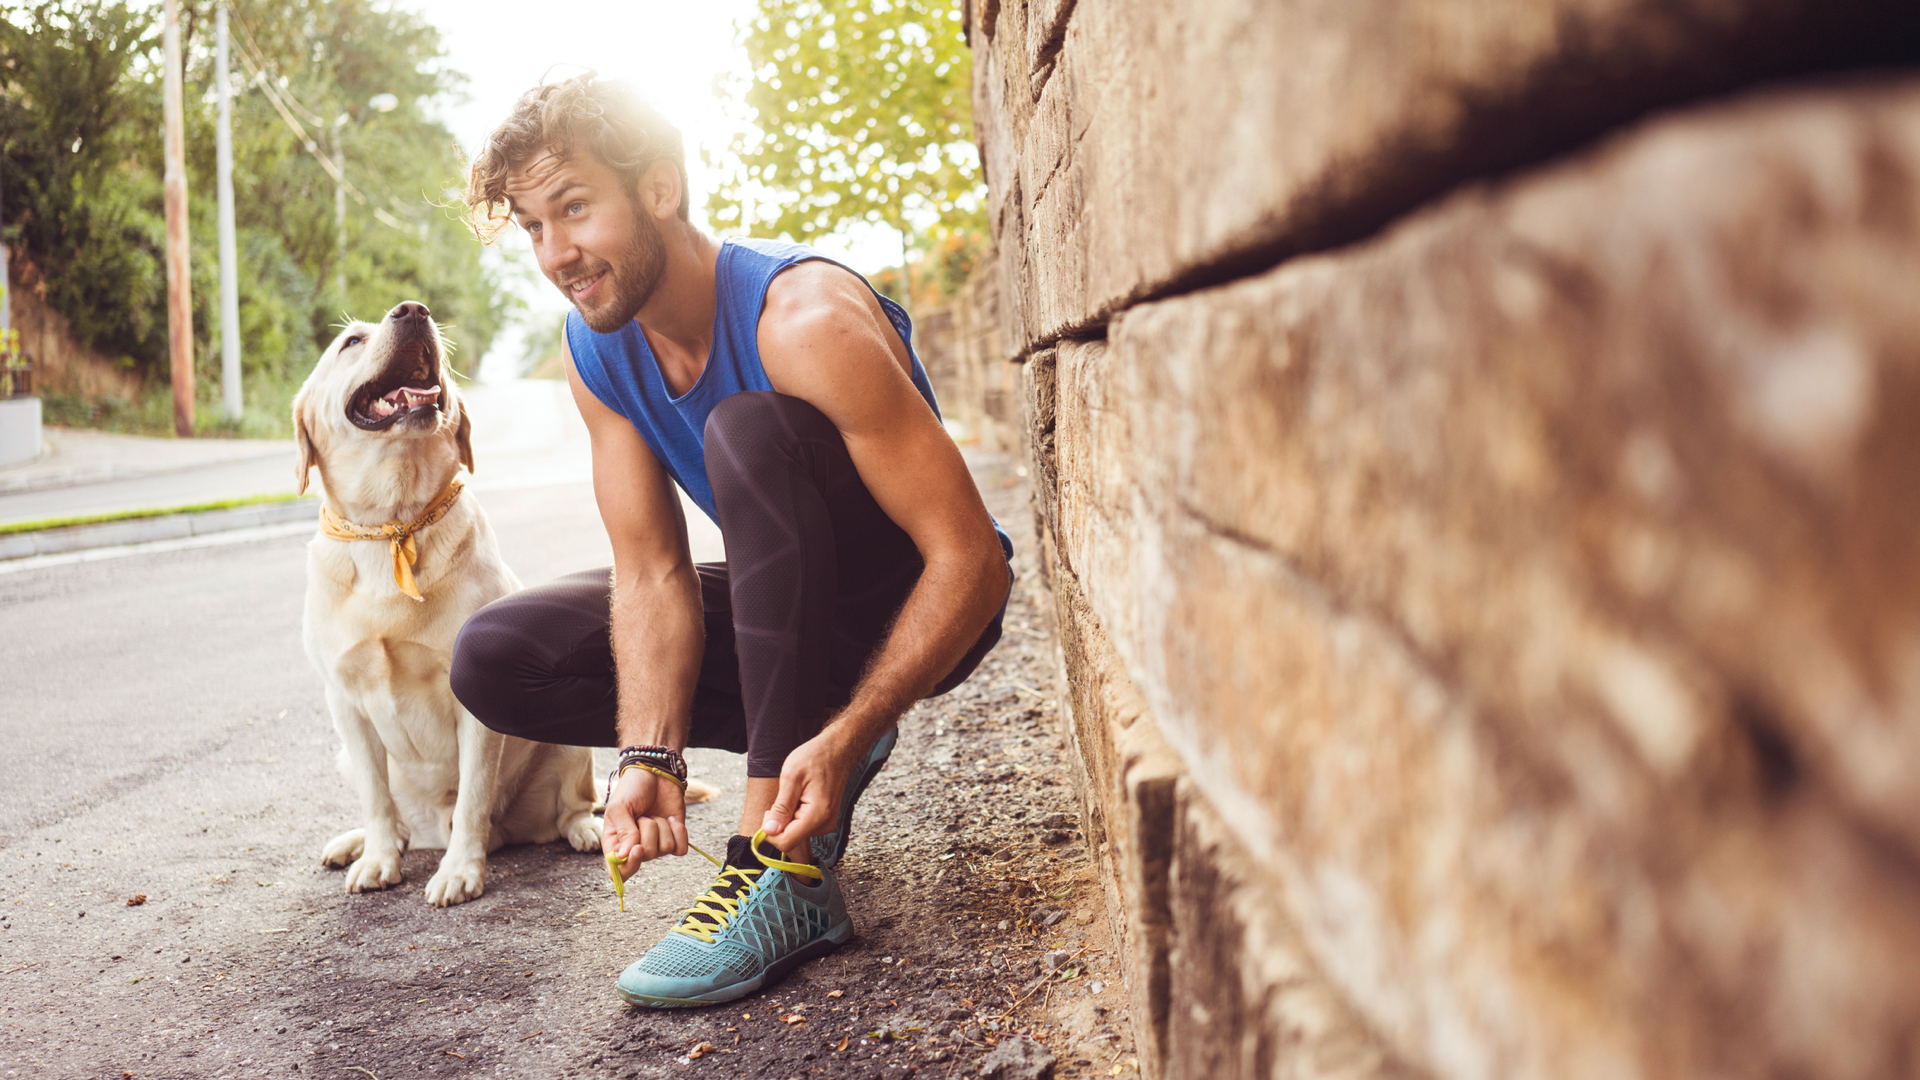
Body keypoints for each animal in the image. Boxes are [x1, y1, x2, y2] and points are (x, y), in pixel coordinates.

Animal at [293, 297, 599, 903]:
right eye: (350, 342)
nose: (413, 310)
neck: (392, 523)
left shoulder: (472, 702)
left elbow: (474, 795)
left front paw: (460, 870)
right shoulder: (344, 701)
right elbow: (376, 797)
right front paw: (378, 858)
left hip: (568, 744)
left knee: (570, 806)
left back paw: (586, 830)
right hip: (344, 756)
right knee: (398, 818)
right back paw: (358, 842)